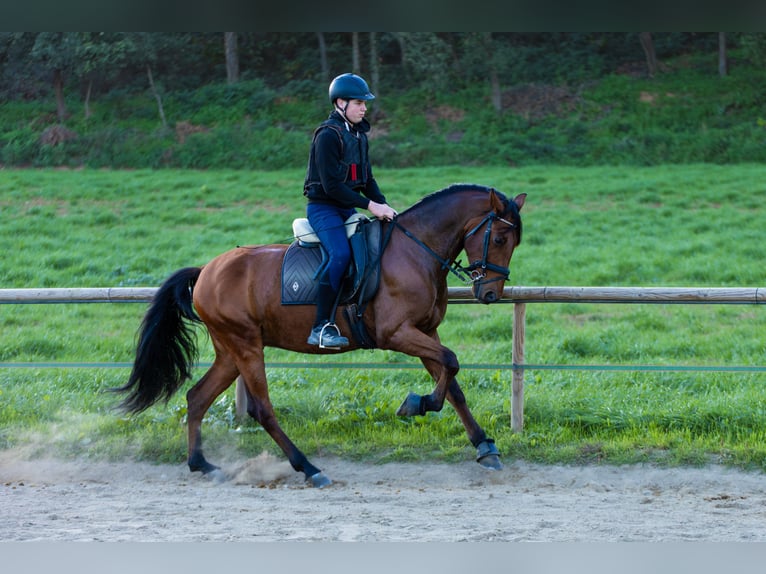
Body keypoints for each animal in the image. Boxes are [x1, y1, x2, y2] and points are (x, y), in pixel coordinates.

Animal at [115, 184, 526, 487]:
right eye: (499, 238)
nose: (491, 294)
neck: (415, 249)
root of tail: (206, 271)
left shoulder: (425, 331)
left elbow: (452, 382)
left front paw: (485, 447)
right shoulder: (397, 333)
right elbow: (451, 364)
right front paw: (415, 404)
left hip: (230, 350)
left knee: (197, 397)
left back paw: (202, 464)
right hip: (245, 345)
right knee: (262, 409)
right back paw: (309, 469)